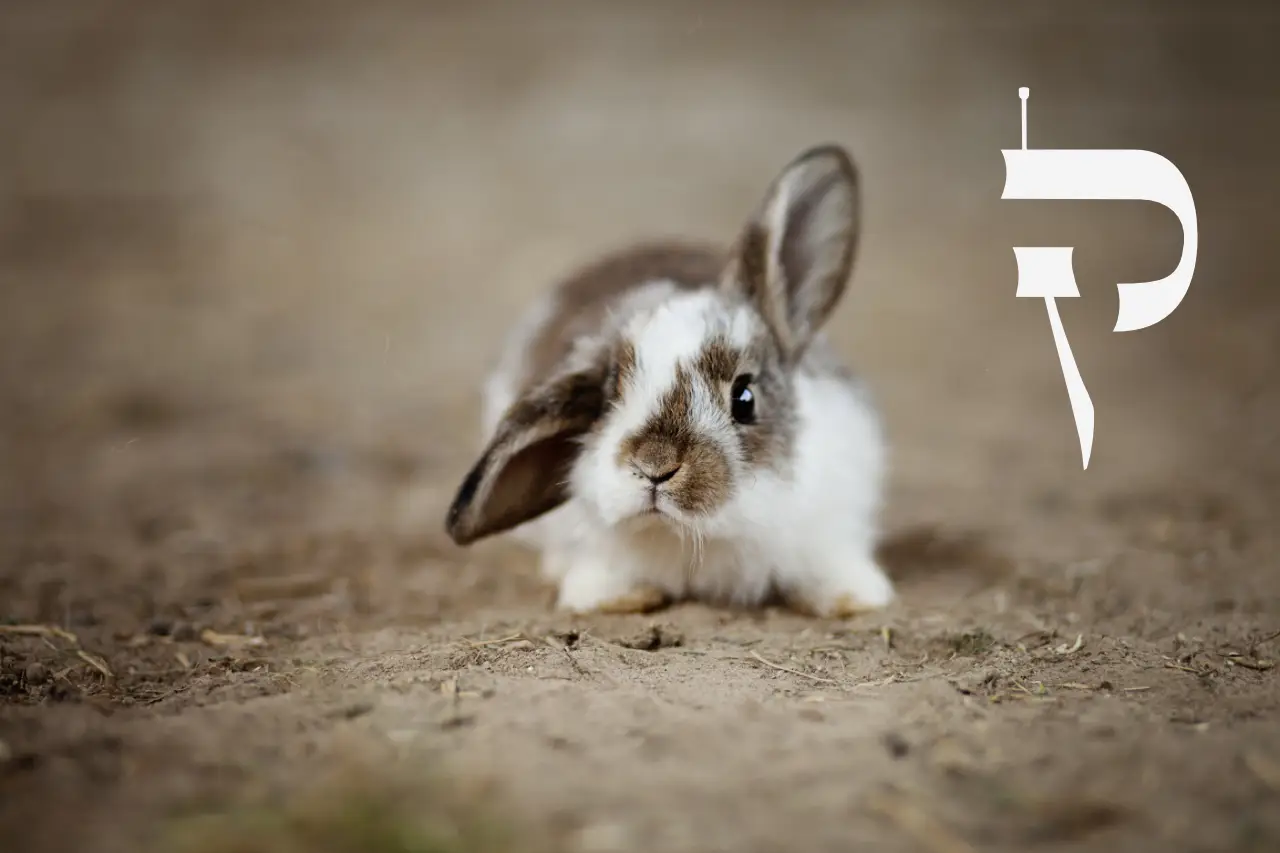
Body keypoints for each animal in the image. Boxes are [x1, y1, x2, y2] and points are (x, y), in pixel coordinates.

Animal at [444, 144, 895, 617]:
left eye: (745, 398)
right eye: (608, 398)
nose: (654, 467)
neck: (701, 538)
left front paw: (854, 598)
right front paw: (619, 597)